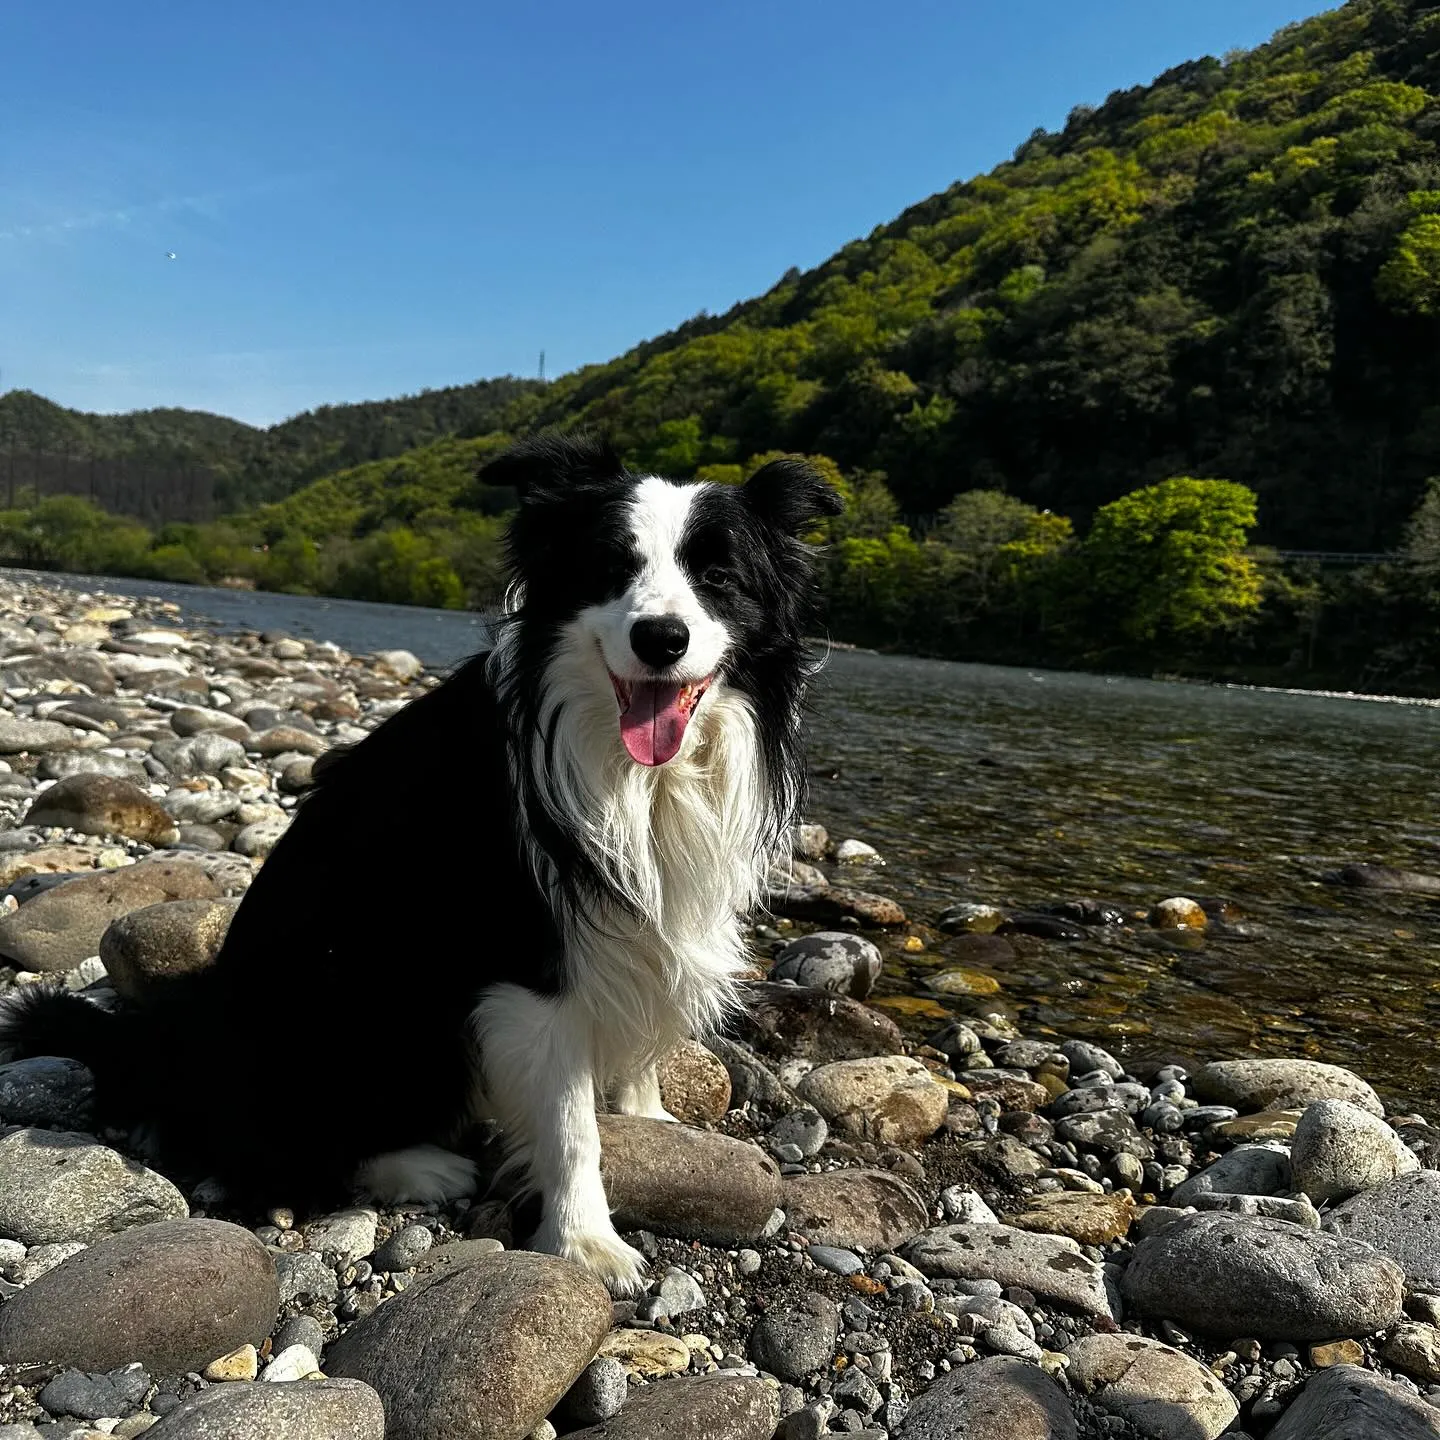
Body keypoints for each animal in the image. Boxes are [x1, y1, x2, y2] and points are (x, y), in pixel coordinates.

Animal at [0, 429, 840, 1296]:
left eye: (719, 578)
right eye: (610, 566)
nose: (661, 639)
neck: (633, 770)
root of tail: (177, 1052)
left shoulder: (652, 921)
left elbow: (644, 1040)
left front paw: (658, 1131)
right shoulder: (528, 962)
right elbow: (571, 1125)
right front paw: (585, 1242)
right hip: (360, 996)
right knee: (275, 1152)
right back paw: (420, 1167)